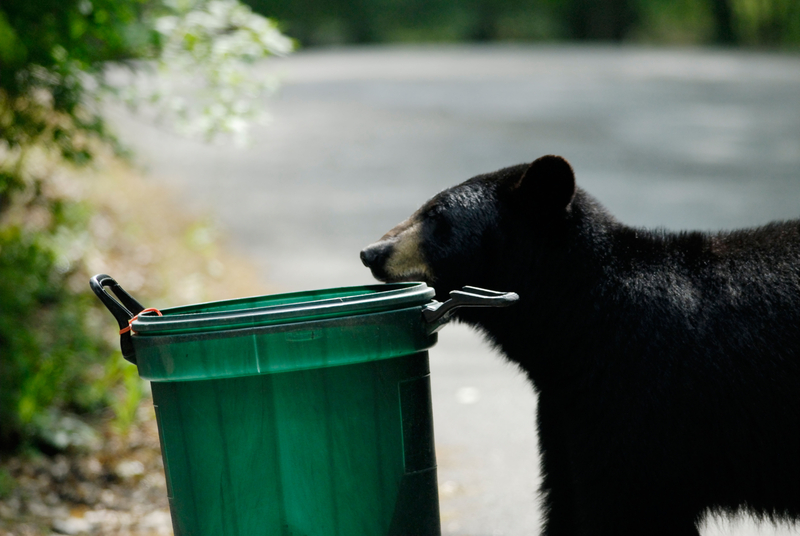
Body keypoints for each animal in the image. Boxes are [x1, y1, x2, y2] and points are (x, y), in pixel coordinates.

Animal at [360, 155, 800, 536]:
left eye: (437, 216)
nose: (371, 252)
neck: (583, 325)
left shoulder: (643, 401)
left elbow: (629, 505)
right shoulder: (567, 416)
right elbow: (566, 500)